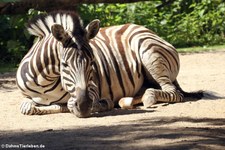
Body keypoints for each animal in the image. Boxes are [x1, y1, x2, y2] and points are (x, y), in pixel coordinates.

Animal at [15, 11, 202, 118]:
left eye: (92, 63)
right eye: (65, 65)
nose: (83, 106)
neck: (45, 81)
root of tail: (146, 29)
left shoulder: (92, 89)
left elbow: (69, 104)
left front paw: (100, 104)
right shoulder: (26, 97)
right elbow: (28, 108)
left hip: (150, 53)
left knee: (174, 92)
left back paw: (149, 97)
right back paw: (129, 99)